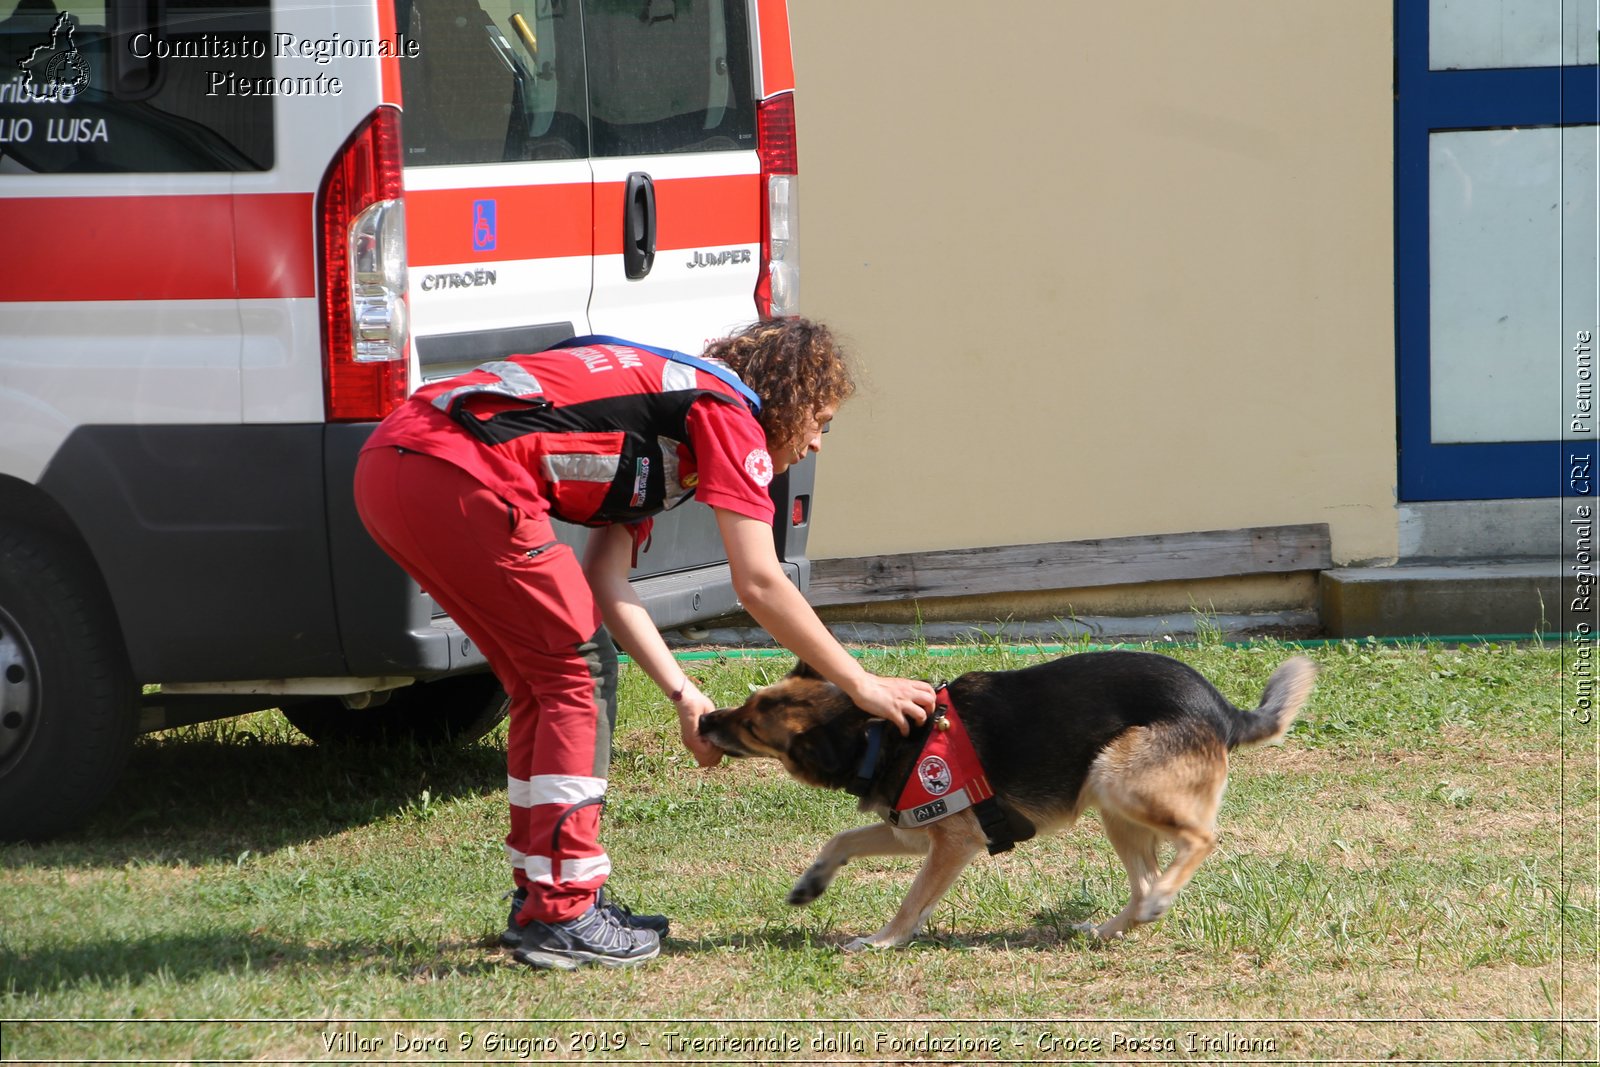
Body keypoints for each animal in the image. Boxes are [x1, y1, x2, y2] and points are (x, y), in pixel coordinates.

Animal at [700, 652, 1312, 953]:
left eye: (751, 726)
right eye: (750, 702)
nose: (704, 721)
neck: (881, 732)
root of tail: (1224, 708)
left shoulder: (951, 842)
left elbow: (911, 900)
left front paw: (883, 941)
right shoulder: (911, 832)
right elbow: (840, 839)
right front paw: (812, 884)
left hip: (1117, 782)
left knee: (1200, 840)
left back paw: (1161, 897)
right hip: (1113, 805)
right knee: (1142, 885)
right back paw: (1112, 929)